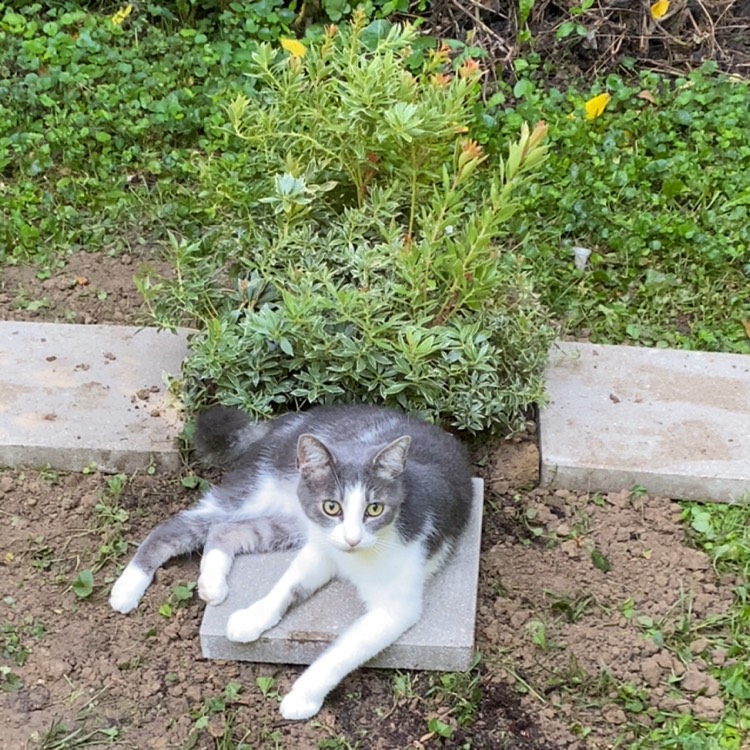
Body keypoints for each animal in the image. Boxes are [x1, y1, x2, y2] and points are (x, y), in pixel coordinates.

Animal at [108, 406, 472, 724]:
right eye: (331, 506)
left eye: (374, 509)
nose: (352, 539)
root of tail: (285, 421)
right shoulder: (321, 545)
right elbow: (287, 584)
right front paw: (254, 617)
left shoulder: (395, 606)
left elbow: (344, 651)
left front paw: (301, 695)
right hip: (258, 490)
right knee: (179, 526)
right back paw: (127, 587)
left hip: (289, 523)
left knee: (225, 530)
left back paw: (211, 584)